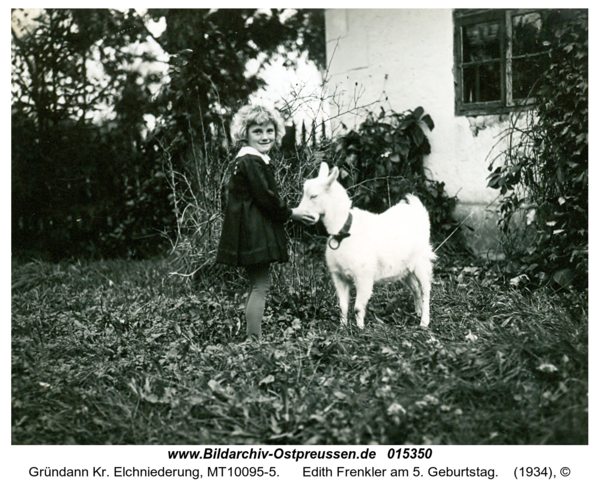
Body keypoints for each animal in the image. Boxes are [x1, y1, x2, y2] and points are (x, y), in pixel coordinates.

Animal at [296, 163, 436, 328]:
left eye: (314, 196)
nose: (302, 215)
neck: (345, 231)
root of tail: (418, 211)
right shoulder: (339, 276)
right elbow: (343, 306)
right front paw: (342, 327)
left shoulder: (363, 276)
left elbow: (357, 307)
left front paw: (360, 329)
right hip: (405, 268)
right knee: (415, 288)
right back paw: (418, 312)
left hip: (421, 261)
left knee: (425, 289)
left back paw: (424, 322)